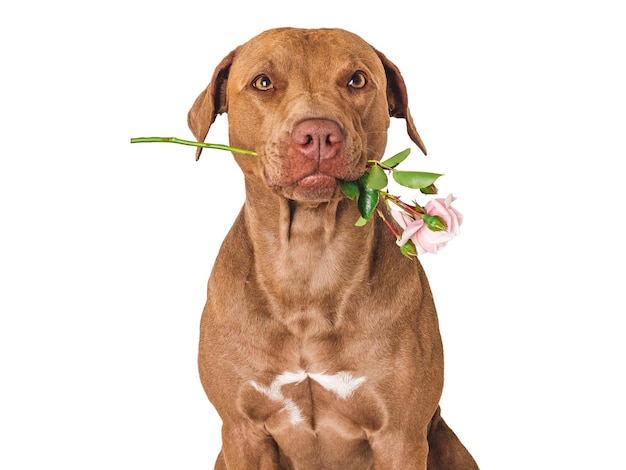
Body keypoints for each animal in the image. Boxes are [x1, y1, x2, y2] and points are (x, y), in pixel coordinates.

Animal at [188, 27, 476, 468]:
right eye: (263, 82)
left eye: (357, 80)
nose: (319, 134)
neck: (308, 262)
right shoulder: (242, 432)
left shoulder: (400, 436)